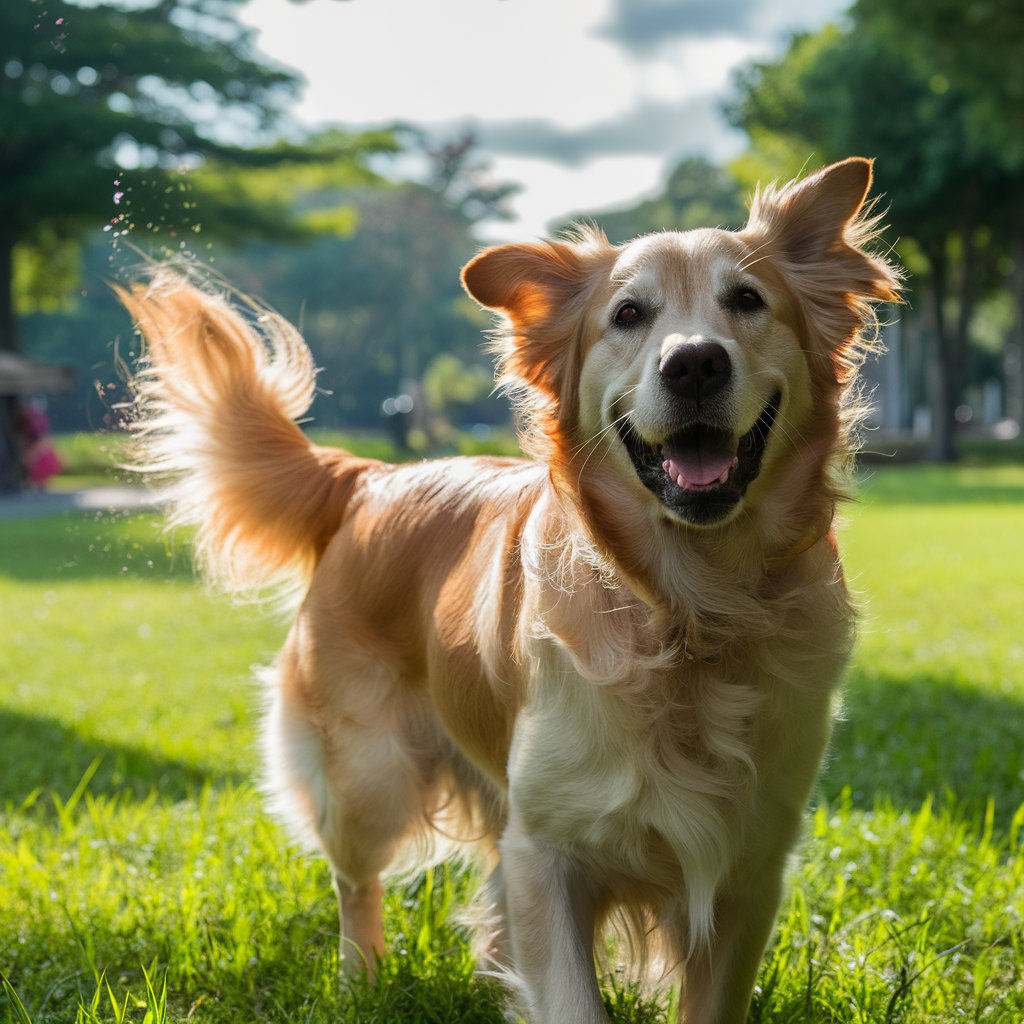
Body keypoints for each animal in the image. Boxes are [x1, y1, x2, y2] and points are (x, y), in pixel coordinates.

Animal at [119, 153, 897, 1024]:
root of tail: (371, 476)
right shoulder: (545, 851)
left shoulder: (749, 863)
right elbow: (569, 997)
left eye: (748, 300)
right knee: (356, 882)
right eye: (629, 314)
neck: (686, 609)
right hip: (367, 774)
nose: (694, 362)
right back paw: (361, 982)